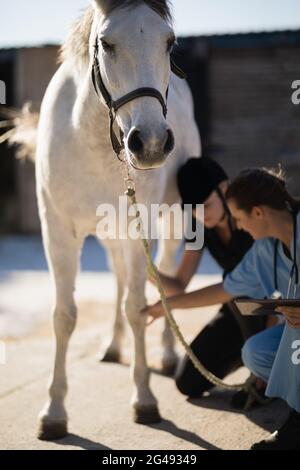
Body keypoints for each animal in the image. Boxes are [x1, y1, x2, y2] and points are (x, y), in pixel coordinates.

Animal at [26, 0, 202, 440]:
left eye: (169, 41)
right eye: (106, 43)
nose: (151, 143)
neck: (90, 136)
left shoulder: (141, 227)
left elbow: (138, 306)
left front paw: (144, 399)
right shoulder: (57, 233)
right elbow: (64, 316)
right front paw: (54, 411)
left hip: (170, 222)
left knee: (163, 273)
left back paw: (168, 354)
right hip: (109, 236)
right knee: (120, 278)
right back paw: (113, 345)